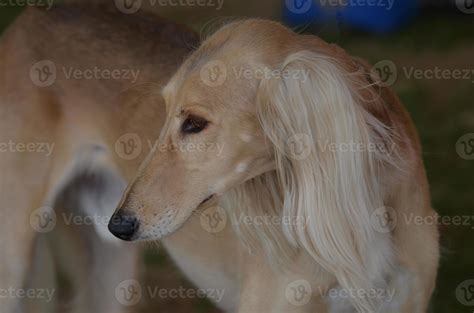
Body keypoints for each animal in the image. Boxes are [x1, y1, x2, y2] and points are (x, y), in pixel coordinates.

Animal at [0, 1, 438, 310]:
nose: (120, 225)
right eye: (164, 111)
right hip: (15, 257)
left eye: (194, 123)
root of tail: (35, 15)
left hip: (111, 272)